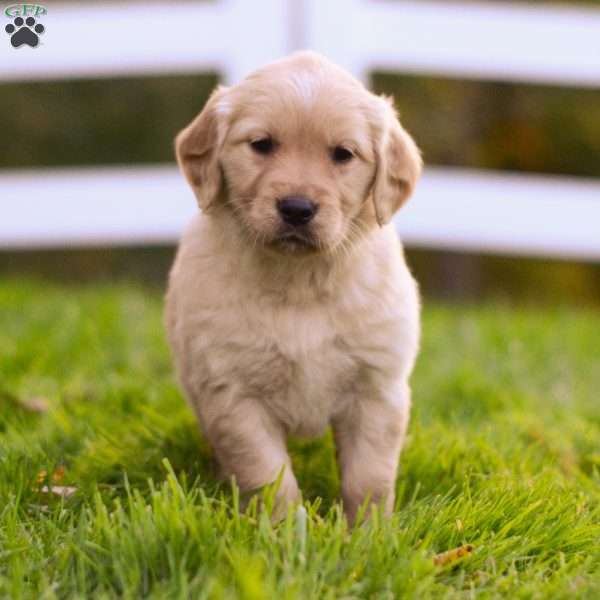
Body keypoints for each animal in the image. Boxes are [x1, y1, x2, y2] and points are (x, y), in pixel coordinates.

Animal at [165, 50, 422, 520]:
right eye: (262, 145)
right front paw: (286, 530)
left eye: (343, 154)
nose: (297, 208)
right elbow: (269, 477)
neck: (301, 280)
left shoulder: (377, 390)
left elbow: (369, 479)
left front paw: (370, 532)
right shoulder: (233, 395)